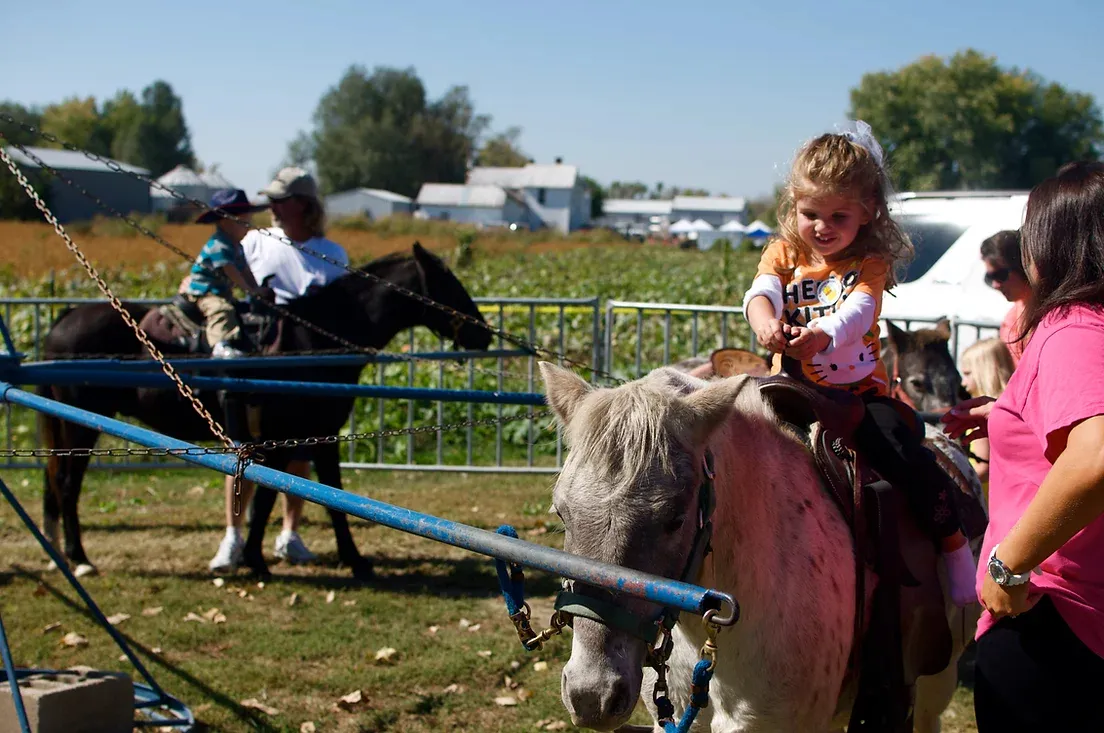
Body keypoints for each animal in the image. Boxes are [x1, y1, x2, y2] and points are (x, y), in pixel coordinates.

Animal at [36, 242, 492, 582]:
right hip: (80, 427)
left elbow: (285, 497)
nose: (484, 334)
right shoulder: (303, 437)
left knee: (56, 484)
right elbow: (306, 498)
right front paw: (350, 561)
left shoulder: (301, 438)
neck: (310, 340)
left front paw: (257, 559)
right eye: (448, 284)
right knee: (67, 486)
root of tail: (62, 321)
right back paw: (80, 558)